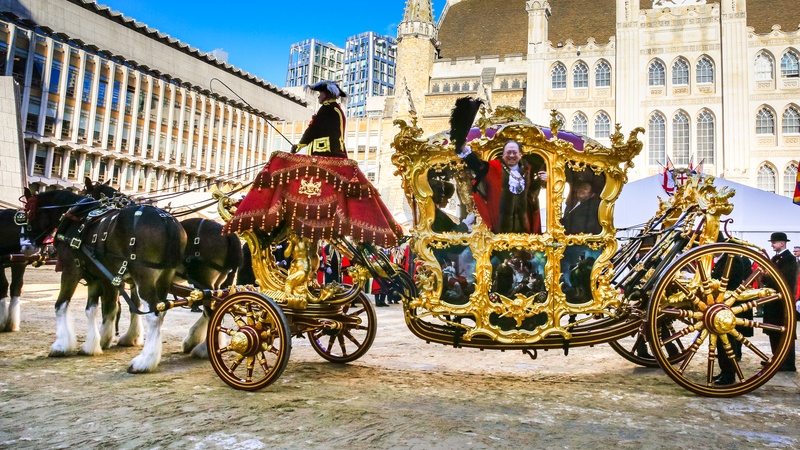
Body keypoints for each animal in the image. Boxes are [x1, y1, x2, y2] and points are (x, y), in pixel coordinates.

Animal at [23, 188, 187, 373]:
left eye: (28, 213)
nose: (26, 246)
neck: (77, 217)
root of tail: (167, 221)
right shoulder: (95, 277)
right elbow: (92, 310)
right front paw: (92, 345)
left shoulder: (71, 271)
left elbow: (61, 305)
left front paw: (61, 346)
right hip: (164, 278)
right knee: (162, 310)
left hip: (143, 277)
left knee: (153, 315)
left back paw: (144, 362)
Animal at [82, 178, 242, 358]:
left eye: (85, 192)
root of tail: (228, 234)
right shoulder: (134, 278)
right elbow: (135, 306)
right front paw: (131, 337)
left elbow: (111, 306)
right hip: (217, 281)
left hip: (203, 279)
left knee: (211, 309)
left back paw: (202, 348)